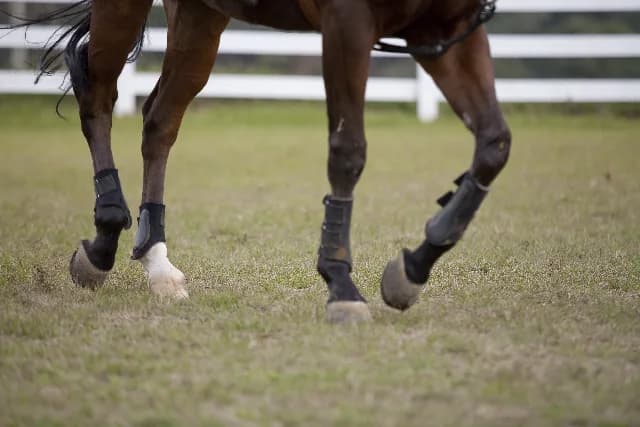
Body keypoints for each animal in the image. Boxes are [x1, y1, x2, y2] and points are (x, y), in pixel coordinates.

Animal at [2, 0, 511, 323]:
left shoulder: (447, 28)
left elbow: (494, 145)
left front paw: (411, 270)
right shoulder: (348, 23)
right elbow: (348, 152)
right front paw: (340, 284)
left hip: (199, 16)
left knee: (159, 122)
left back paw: (157, 262)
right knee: (98, 98)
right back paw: (105, 239)